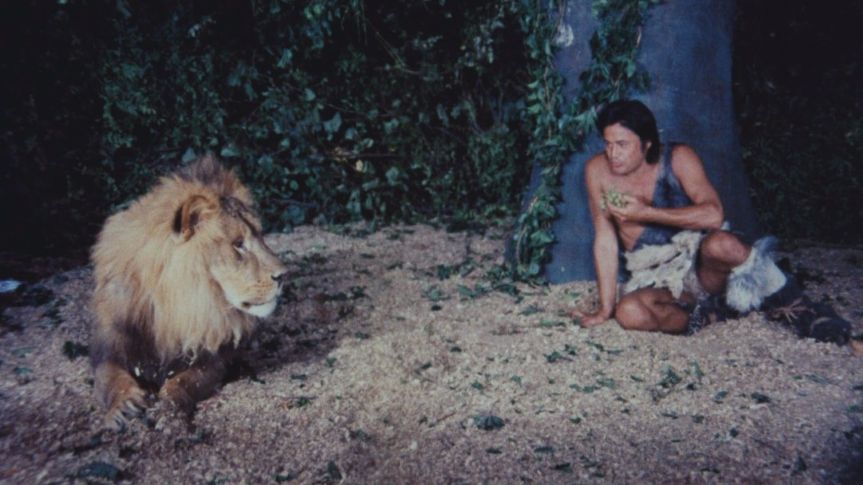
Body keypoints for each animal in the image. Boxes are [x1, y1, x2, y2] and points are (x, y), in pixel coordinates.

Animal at [90, 155, 287, 429]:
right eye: (238, 244)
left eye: (260, 235)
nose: (284, 275)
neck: (169, 310)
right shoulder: (109, 348)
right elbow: (110, 378)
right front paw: (123, 407)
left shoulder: (212, 358)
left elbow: (183, 382)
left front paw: (169, 411)